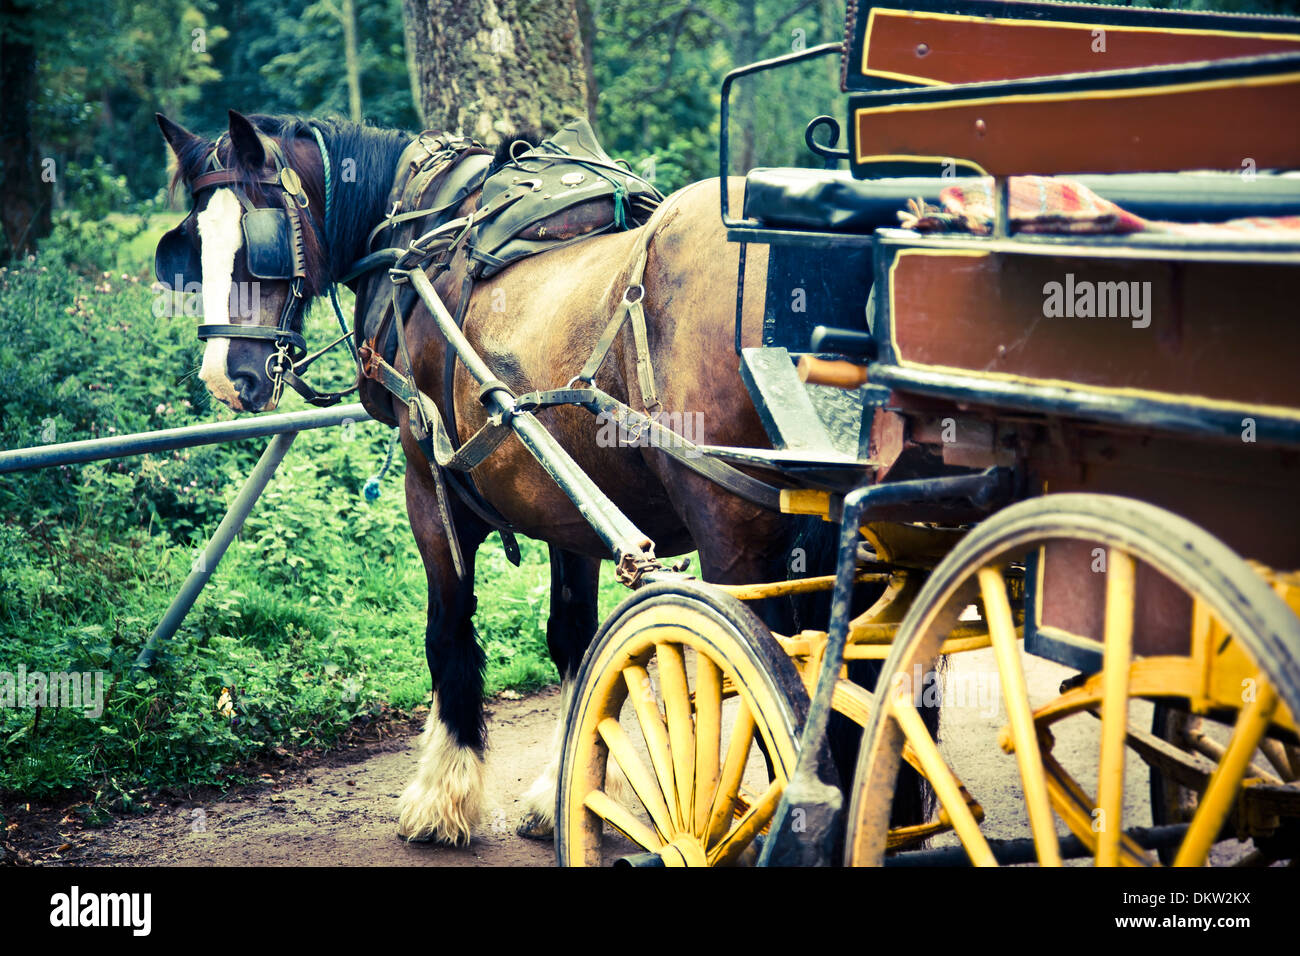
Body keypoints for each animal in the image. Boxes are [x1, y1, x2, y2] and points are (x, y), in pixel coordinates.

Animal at [153, 109, 920, 851]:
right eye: (188, 242)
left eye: (259, 238)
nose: (225, 377)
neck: (419, 238)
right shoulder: (563, 502)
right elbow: (573, 639)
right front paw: (562, 792)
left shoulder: (427, 481)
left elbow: (448, 631)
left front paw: (442, 800)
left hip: (733, 530)